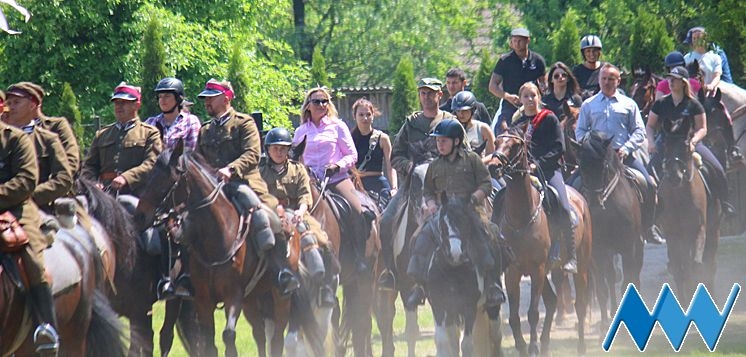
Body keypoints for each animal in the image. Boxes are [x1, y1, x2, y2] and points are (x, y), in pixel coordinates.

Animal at [132, 143, 318, 356]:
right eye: (150, 176)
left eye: (169, 179)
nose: (139, 216)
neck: (219, 236)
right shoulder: (203, 300)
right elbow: (209, 342)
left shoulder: (233, 296)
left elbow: (228, 337)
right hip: (251, 298)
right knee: (260, 334)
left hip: (280, 296)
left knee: (277, 337)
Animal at [488, 128, 592, 356]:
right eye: (497, 142)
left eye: (515, 145)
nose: (493, 166)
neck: (522, 217)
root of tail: (580, 198)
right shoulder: (513, 272)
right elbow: (514, 316)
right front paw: (522, 346)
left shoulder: (537, 269)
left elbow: (533, 313)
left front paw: (533, 347)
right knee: (552, 302)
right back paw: (545, 344)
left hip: (580, 265)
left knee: (580, 304)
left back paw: (580, 345)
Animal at [656, 124, 720, 294]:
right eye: (665, 145)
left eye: (685, 145)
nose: (675, 176)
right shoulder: (673, 235)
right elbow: (680, 270)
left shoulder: (699, 229)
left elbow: (696, 267)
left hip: (713, 230)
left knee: (710, 265)